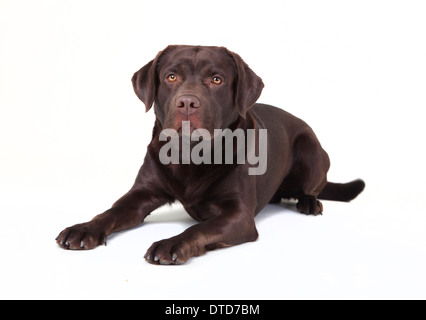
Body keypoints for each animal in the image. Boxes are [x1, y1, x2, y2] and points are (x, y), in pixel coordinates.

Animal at [55, 45, 364, 264]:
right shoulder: (141, 193)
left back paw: (308, 202)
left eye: (216, 79)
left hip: (311, 150)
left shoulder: (239, 215)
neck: (191, 154)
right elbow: (110, 211)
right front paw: (84, 228)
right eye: (171, 76)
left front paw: (171, 243)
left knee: (313, 185)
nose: (187, 103)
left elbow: (199, 229)